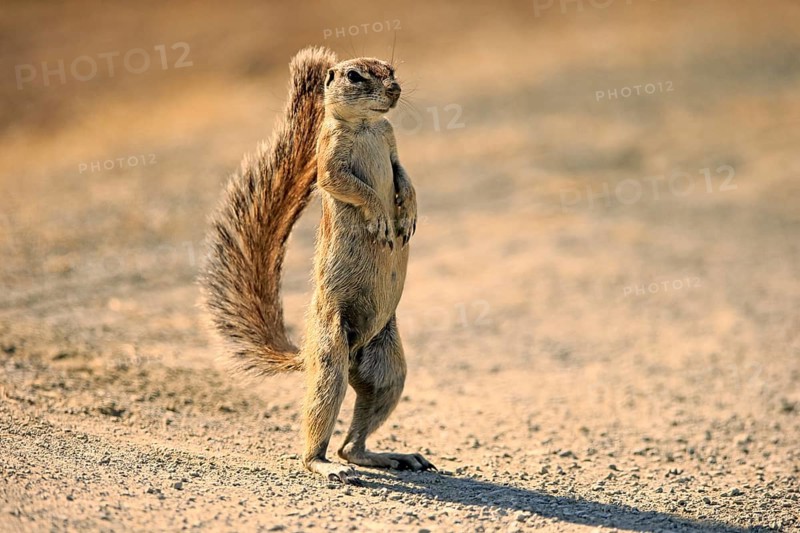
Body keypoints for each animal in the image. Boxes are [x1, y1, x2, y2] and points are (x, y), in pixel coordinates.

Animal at [201, 46, 435, 485]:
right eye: (355, 76)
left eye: (391, 69)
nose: (394, 89)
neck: (367, 127)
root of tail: (307, 352)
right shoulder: (329, 160)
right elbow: (348, 186)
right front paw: (382, 218)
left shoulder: (392, 146)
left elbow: (404, 177)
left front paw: (409, 214)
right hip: (331, 361)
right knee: (323, 432)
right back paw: (326, 465)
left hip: (388, 374)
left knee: (353, 444)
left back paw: (392, 456)